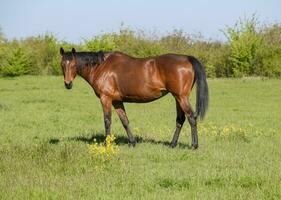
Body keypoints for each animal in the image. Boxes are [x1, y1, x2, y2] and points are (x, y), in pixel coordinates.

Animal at [59, 47, 208, 149]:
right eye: (62, 64)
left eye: (73, 64)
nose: (67, 84)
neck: (101, 67)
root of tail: (186, 58)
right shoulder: (117, 101)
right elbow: (125, 120)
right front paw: (132, 142)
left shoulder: (105, 98)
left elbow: (107, 121)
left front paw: (107, 144)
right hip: (178, 98)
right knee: (180, 119)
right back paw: (172, 144)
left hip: (181, 97)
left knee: (191, 117)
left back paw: (194, 145)